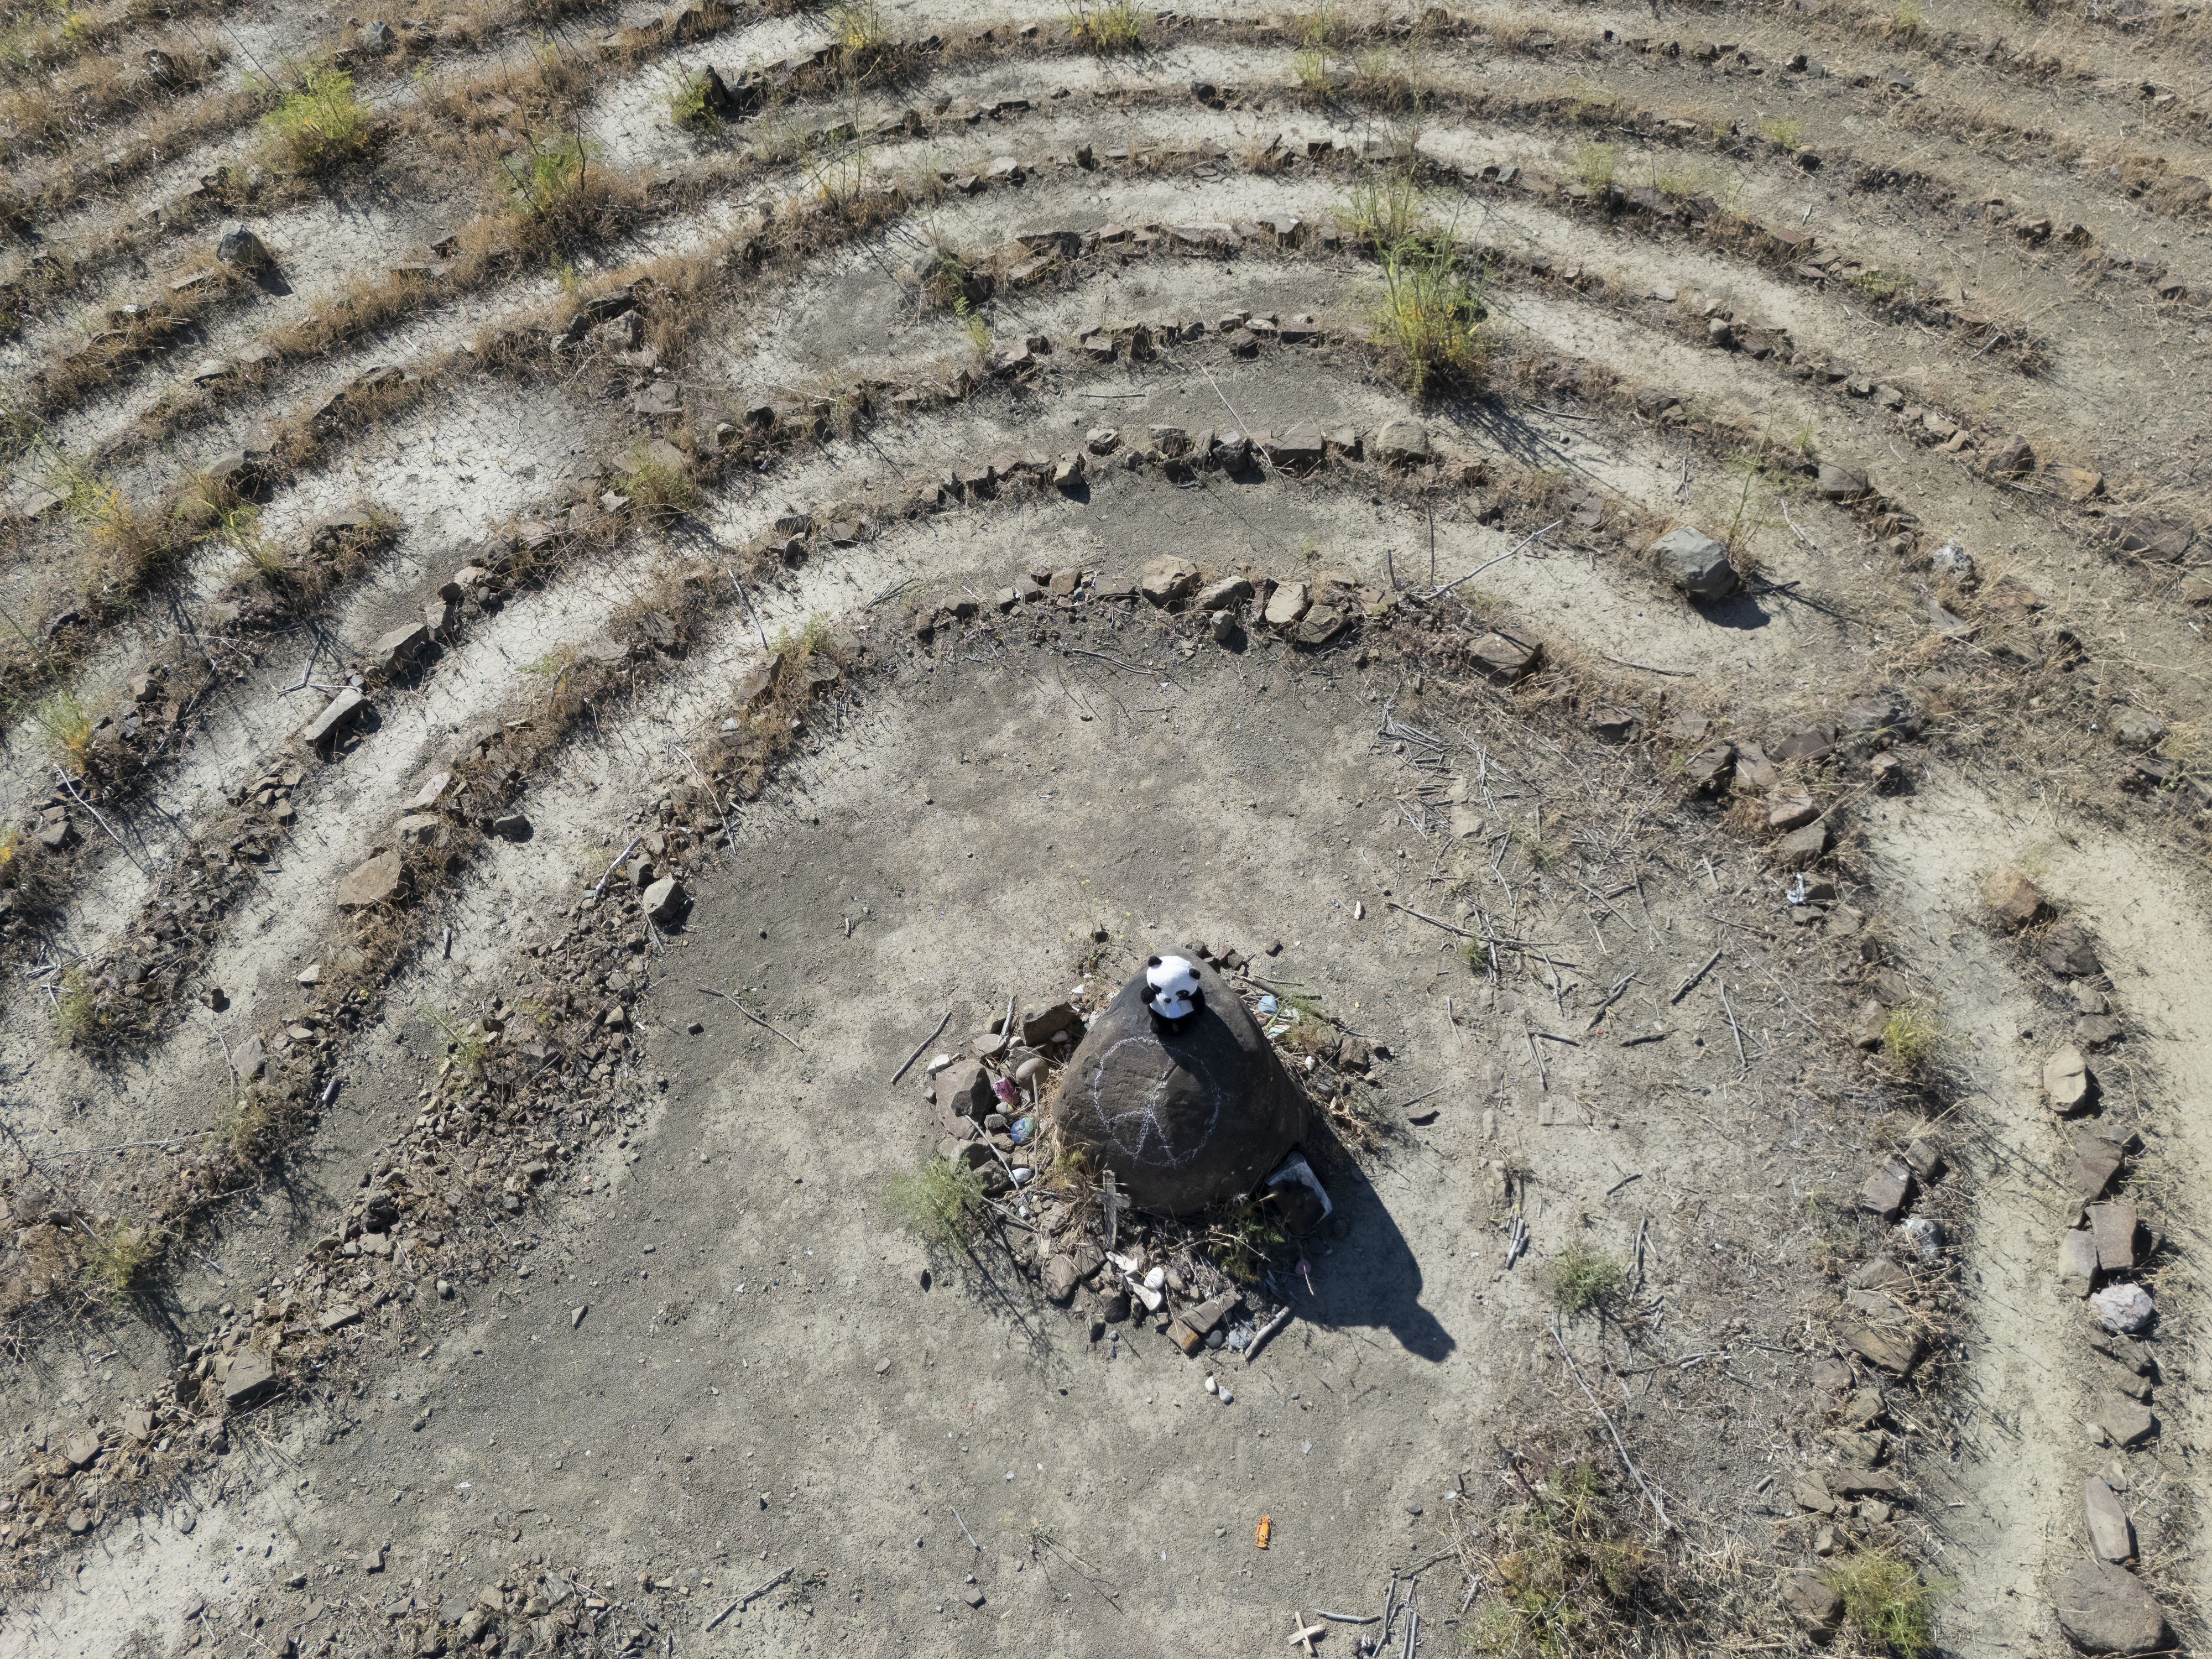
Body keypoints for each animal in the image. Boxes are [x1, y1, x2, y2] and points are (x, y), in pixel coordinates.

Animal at [1139, 954, 1205, 1028]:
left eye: (1181, 993)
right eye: (1157, 988)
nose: (1167, 1000)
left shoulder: (1194, 993)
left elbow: (1199, 1002)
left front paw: (1199, 1010)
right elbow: (1145, 996)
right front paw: (1147, 997)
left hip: (1184, 1017)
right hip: (1157, 1011)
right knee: (1155, 1015)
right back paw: (1156, 1026)